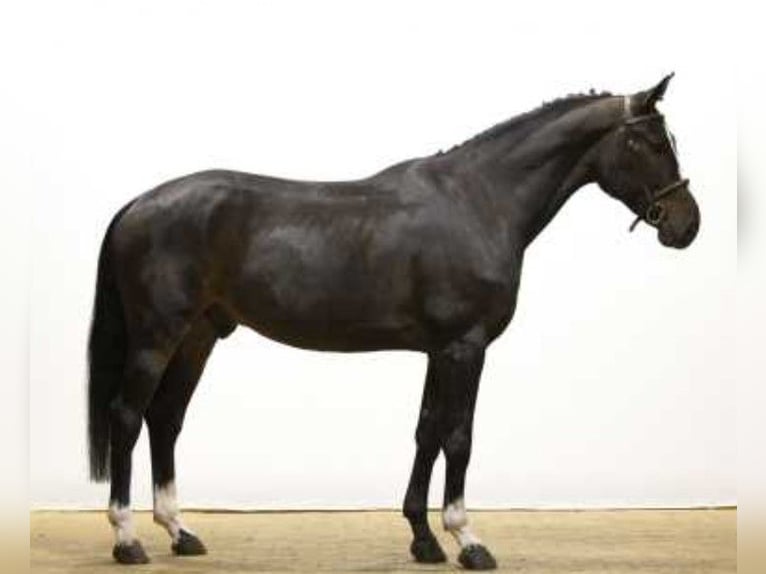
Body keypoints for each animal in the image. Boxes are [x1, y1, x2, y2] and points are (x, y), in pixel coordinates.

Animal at [87, 74, 700, 570]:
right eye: (650, 142)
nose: (686, 225)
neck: (479, 201)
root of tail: (137, 204)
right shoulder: (465, 347)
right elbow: (459, 438)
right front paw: (468, 541)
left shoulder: (438, 351)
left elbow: (427, 432)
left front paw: (424, 541)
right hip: (156, 337)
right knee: (127, 416)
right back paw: (127, 540)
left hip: (198, 337)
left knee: (166, 418)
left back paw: (180, 532)